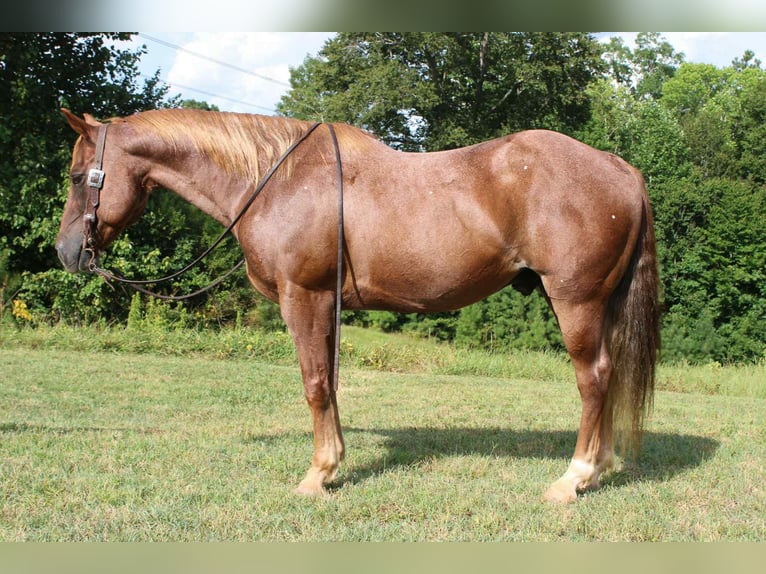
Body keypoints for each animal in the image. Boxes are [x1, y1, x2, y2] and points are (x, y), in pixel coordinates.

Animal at [55, 108, 660, 504]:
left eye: (77, 176)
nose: (66, 252)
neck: (278, 182)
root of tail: (619, 167)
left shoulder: (304, 296)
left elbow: (315, 382)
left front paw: (317, 473)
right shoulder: (326, 304)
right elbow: (330, 382)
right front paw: (334, 464)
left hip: (576, 300)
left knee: (593, 379)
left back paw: (573, 477)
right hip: (599, 304)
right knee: (608, 377)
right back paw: (599, 470)